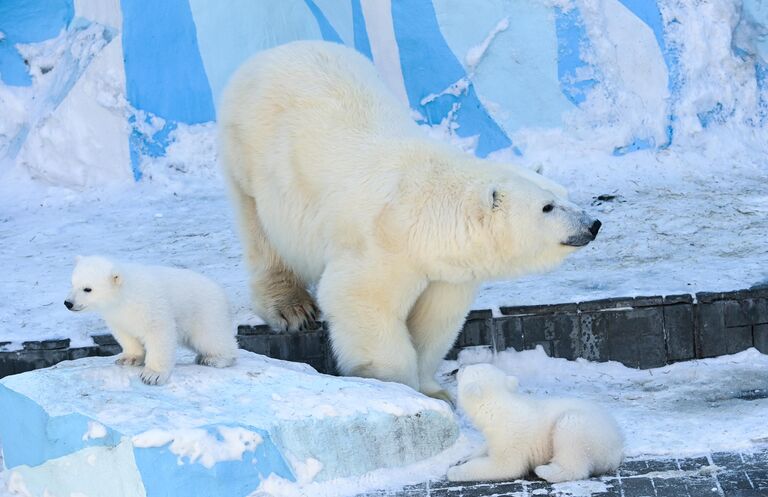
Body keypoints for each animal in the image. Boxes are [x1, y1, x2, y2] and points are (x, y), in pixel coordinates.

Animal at [66, 256, 240, 384]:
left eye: (87, 289)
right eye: (72, 283)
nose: (68, 303)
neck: (125, 296)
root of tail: (222, 294)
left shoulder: (150, 305)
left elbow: (159, 334)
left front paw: (152, 375)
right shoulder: (117, 316)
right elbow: (126, 335)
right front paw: (128, 359)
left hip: (205, 313)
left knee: (211, 338)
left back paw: (213, 359)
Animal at [216, 40, 600, 398]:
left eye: (565, 194)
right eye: (547, 207)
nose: (592, 224)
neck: (428, 210)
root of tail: (274, 52)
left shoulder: (445, 270)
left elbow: (434, 321)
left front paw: (434, 388)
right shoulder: (381, 245)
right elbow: (361, 300)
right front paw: (399, 386)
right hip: (252, 154)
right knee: (260, 229)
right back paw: (291, 307)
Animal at [448, 362, 620, 482]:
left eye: (466, 369)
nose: (456, 369)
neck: (498, 407)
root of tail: (617, 448)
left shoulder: (510, 436)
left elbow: (505, 466)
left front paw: (453, 472)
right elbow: (487, 446)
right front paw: (464, 457)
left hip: (586, 429)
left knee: (571, 437)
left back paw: (545, 471)